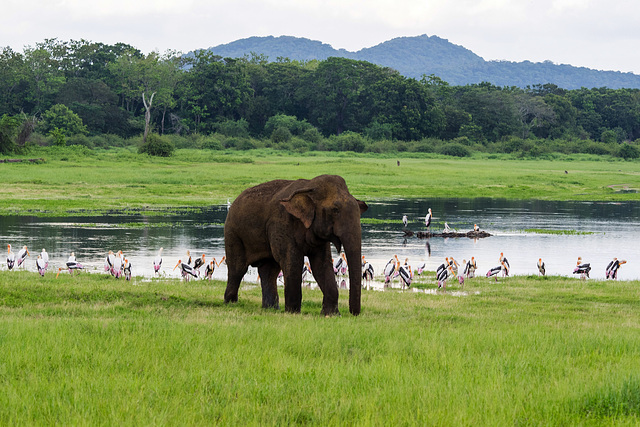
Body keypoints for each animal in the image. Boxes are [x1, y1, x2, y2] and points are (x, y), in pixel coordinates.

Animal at [225, 175, 368, 318]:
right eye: (335, 210)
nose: (353, 314)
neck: (309, 186)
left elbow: (321, 265)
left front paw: (330, 315)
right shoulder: (282, 224)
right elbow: (292, 262)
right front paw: (293, 313)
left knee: (269, 270)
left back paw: (271, 308)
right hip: (233, 233)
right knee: (238, 268)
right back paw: (231, 303)